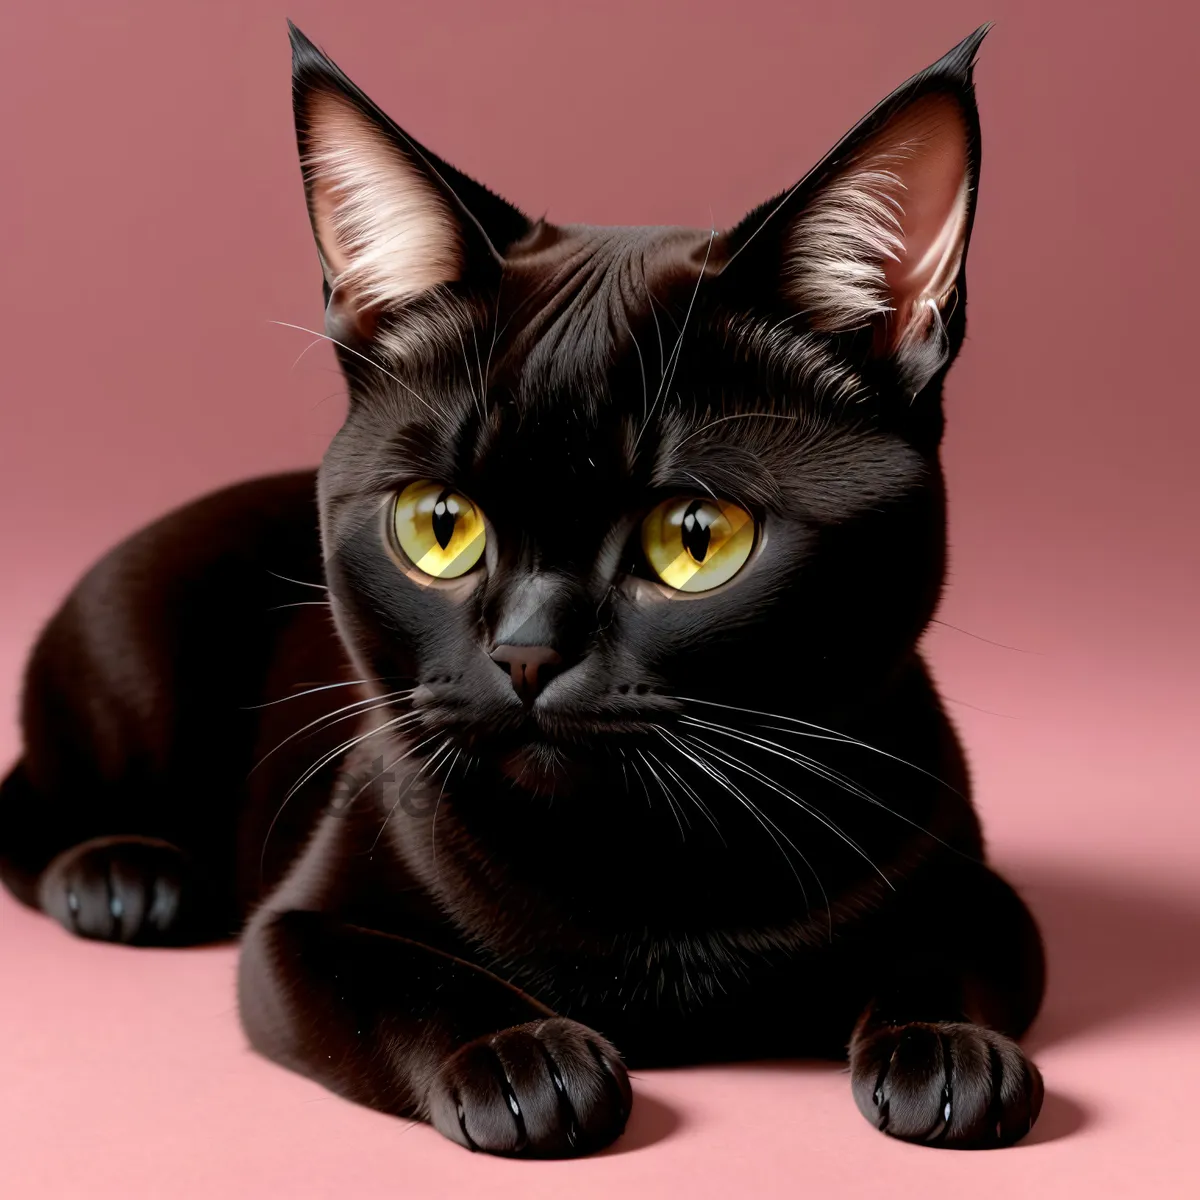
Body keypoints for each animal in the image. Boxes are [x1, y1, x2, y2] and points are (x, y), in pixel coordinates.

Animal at [0, 23, 1041, 1156]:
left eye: (697, 538)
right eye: (440, 526)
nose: (528, 653)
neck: (647, 867)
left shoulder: (976, 885)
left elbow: (956, 947)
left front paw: (950, 1053)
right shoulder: (294, 932)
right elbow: (404, 977)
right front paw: (524, 1061)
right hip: (133, 653)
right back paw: (125, 879)